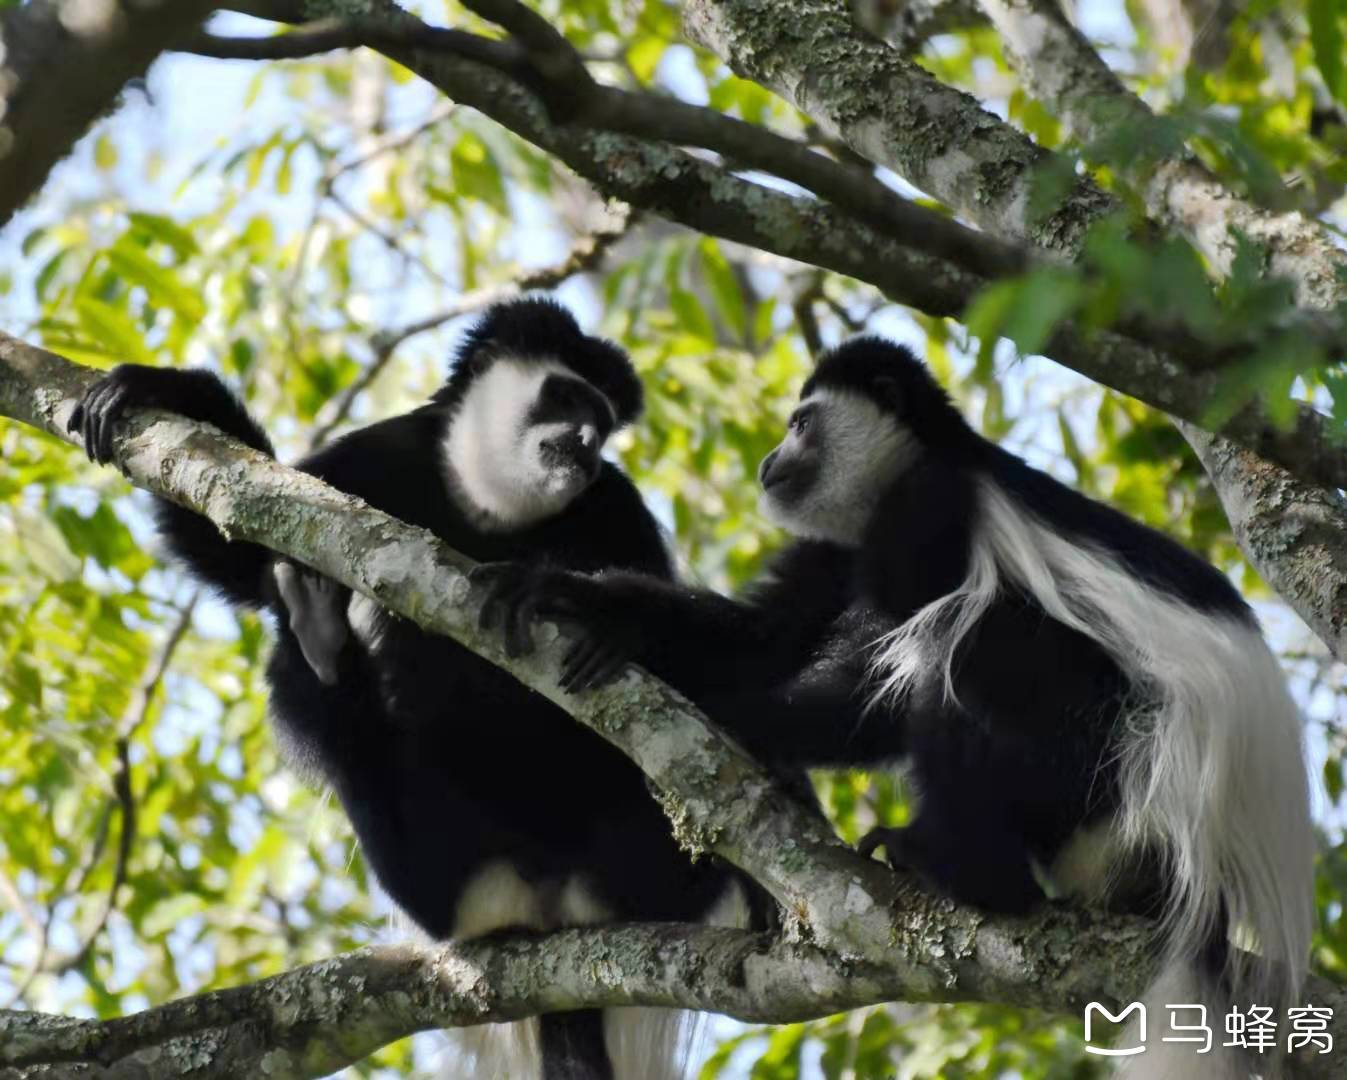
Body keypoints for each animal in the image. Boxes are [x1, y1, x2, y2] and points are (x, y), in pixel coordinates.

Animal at [71, 294, 748, 1077]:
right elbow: (248, 556)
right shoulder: (377, 456)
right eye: (568, 396)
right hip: (461, 863)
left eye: (604, 423)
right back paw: (321, 643)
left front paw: (602, 617)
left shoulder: (615, 506)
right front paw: (165, 391)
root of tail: (554, 910)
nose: (584, 442)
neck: (488, 505)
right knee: (313, 692)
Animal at [476, 336, 1314, 1077]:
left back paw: (963, 868)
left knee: (972, 642)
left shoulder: (926, 511)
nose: (769, 461)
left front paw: (751, 730)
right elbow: (763, 639)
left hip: (1118, 767)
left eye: (800, 423)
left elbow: (886, 664)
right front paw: (585, 603)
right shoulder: (834, 548)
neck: (913, 466)